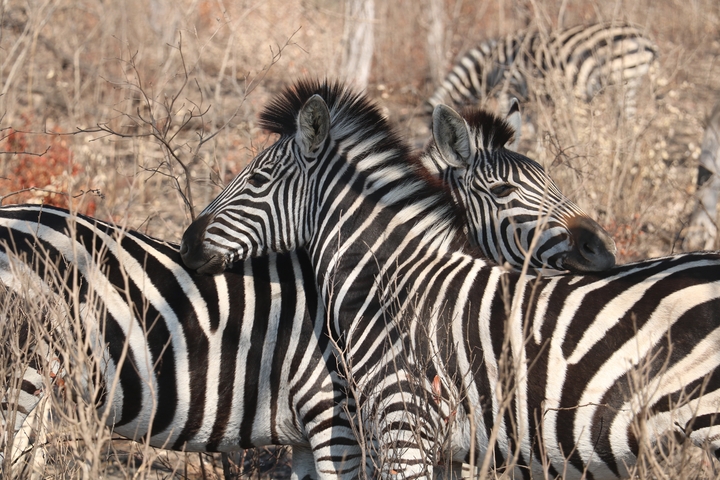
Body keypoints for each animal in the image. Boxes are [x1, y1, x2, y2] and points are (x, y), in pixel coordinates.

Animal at [0, 104, 614, 476]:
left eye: (551, 181)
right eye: (507, 192)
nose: (601, 252)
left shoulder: (306, 433)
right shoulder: (336, 419)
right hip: (18, 375)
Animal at [180, 79, 720, 479]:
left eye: (256, 181)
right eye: (503, 191)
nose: (186, 241)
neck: (395, 287)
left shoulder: (404, 430)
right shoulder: (443, 447)